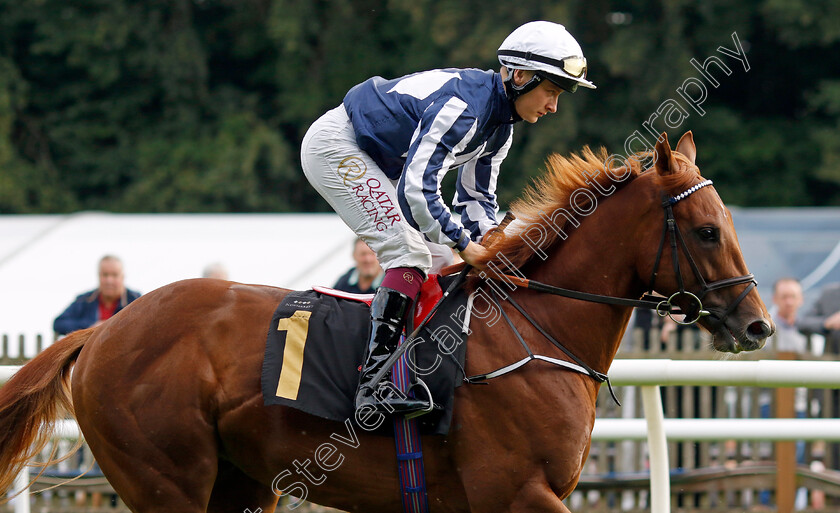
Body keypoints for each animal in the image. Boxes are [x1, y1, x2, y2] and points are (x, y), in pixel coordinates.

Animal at [1, 130, 776, 510]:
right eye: (707, 230)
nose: (759, 326)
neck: (534, 327)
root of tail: (103, 330)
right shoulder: (515, 490)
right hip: (166, 480)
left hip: (239, 483)